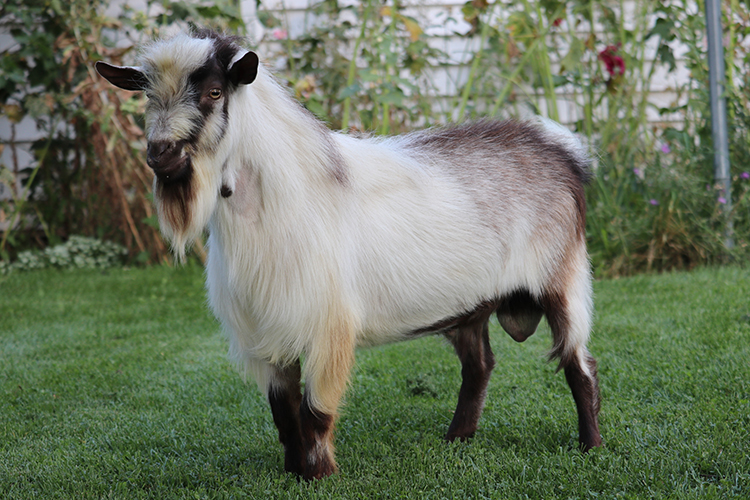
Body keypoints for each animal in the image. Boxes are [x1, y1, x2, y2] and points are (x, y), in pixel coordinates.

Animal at [96, 29, 601, 480]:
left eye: (215, 91)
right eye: (148, 97)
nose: (161, 155)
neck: (286, 199)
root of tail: (562, 150)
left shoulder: (327, 326)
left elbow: (315, 413)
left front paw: (320, 475)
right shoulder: (266, 332)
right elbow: (285, 414)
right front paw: (293, 472)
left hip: (564, 280)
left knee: (579, 365)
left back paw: (590, 445)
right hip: (469, 306)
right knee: (479, 366)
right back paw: (458, 438)